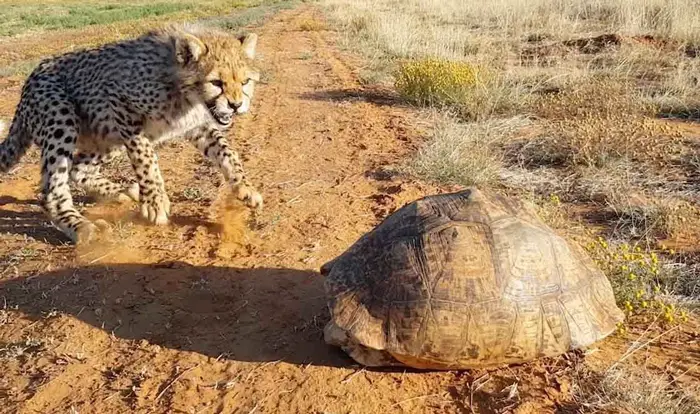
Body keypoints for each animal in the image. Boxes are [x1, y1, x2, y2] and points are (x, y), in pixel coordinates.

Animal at [0, 25, 262, 243]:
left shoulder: (196, 125)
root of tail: (31, 78)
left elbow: (227, 152)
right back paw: (82, 226)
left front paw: (245, 187)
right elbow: (146, 157)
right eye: (216, 82)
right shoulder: (118, 101)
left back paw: (121, 191)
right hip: (62, 119)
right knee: (52, 191)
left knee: (77, 168)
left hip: (107, 137)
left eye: (245, 81)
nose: (236, 105)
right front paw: (155, 202)